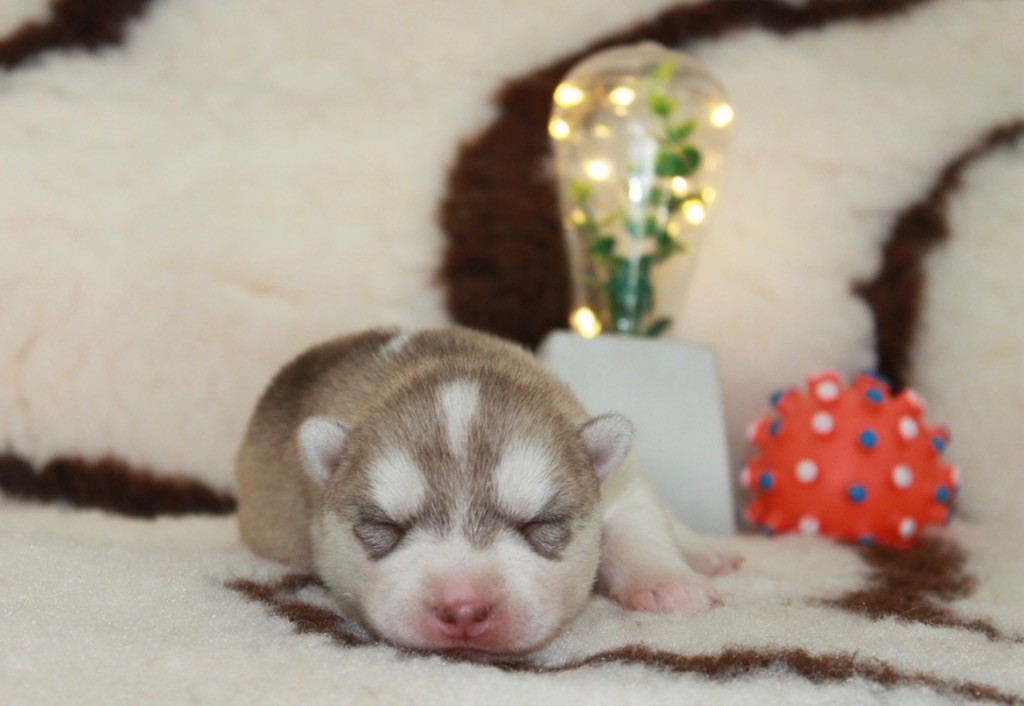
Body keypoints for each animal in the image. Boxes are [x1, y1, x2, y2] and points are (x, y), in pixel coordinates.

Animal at [235, 327, 741, 659]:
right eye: (386, 526)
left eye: (538, 523)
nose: (463, 609)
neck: (451, 360)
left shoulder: (617, 481)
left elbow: (640, 522)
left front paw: (669, 584)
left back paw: (705, 552)